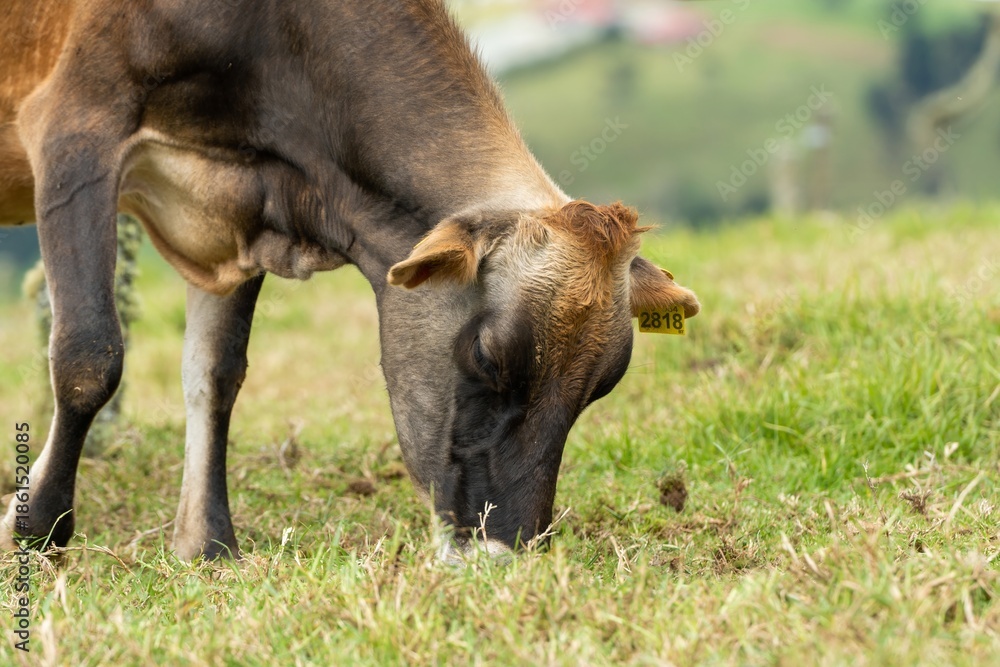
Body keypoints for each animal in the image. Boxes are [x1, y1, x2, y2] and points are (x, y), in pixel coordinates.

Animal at [0, 0, 699, 560]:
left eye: (600, 387)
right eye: (484, 355)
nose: (507, 552)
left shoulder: (240, 211)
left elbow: (215, 375)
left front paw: (208, 544)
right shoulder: (75, 124)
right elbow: (90, 355)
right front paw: (35, 526)